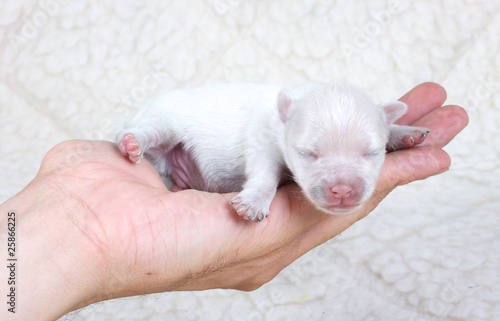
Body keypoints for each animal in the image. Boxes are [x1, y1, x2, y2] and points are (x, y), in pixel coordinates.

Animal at [115, 82, 428, 221]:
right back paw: (133, 143)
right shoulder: (263, 144)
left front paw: (404, 132)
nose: (342, 191)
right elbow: (264, 175)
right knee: (151, 131)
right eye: (307, 153)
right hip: (164, 121)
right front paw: (253, 203)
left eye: (371, 153)